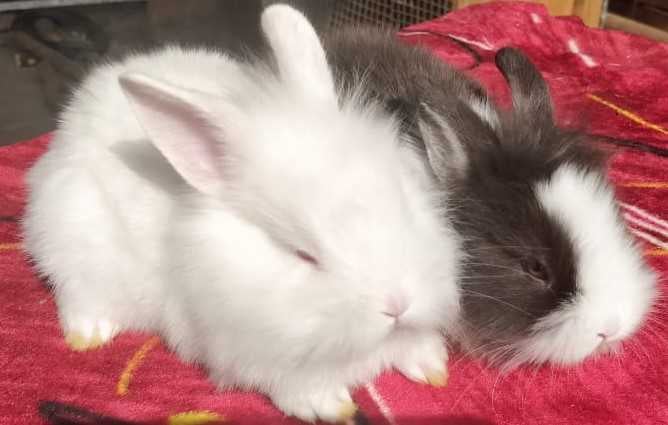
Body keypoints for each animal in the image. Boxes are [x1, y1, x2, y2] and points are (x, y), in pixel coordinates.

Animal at [22, 5, 462, 423]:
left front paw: (431, 365)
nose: (397, 306)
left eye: (403, 203)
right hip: (74, 236)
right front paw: (327, 405)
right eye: (303, 254)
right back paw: (89, 334)